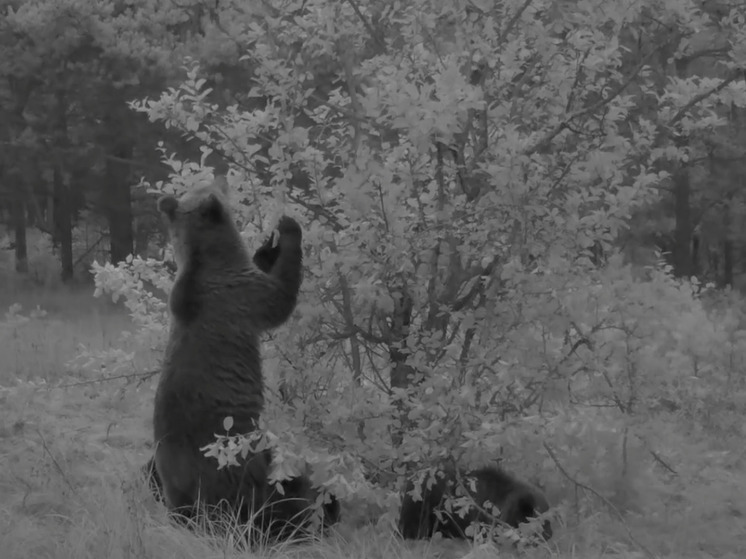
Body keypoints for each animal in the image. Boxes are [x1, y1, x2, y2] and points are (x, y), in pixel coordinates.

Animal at [151, 177, 328, 540]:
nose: (219, 179)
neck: (206, 261)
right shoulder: (241, 296)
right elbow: (280, 297)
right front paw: (289, 227)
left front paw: (268, 243)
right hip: (244, 459)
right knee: (276, 492)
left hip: (172, 480)